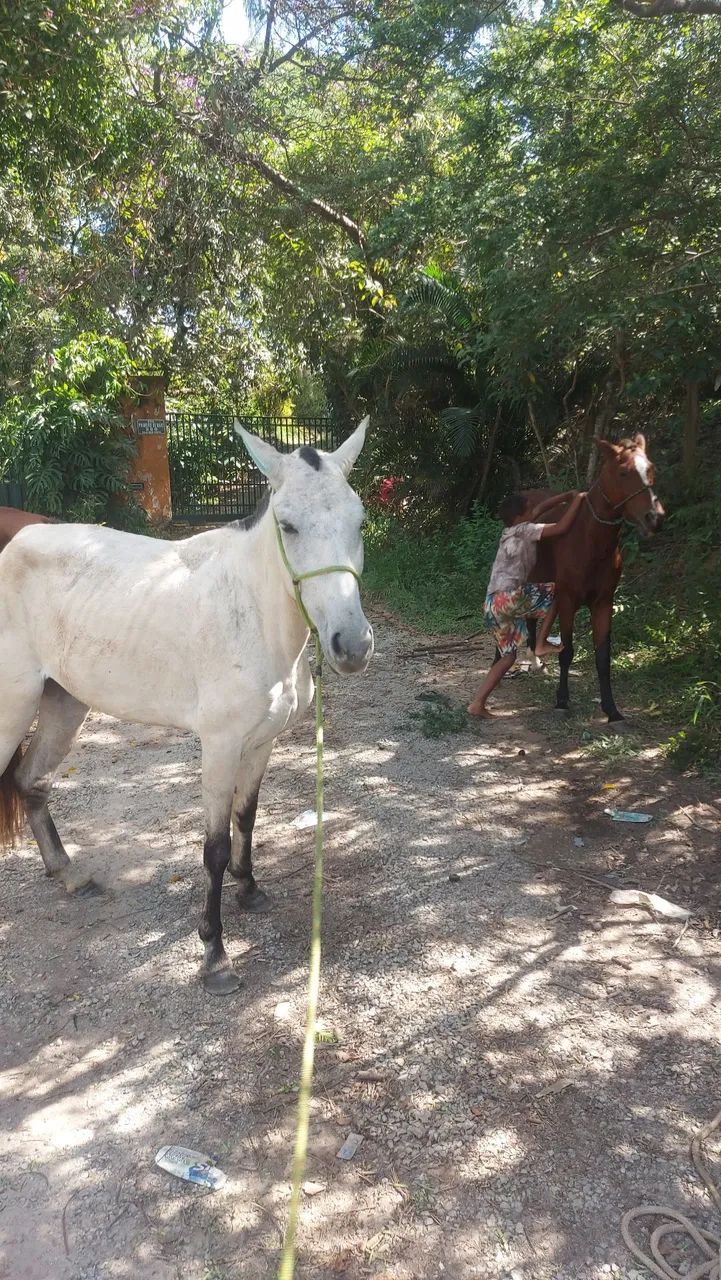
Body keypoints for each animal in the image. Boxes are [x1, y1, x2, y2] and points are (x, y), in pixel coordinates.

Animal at [0, 419, 373, 994]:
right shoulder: (219, 747)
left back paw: (69, 875)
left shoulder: (260, 742)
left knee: (31, 783)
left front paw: (250, 890)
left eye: (361, 521)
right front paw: (214, 955)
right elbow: (214, 847)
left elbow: (247, 817)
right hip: (13, 706)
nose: (351, 645)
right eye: (288, 526)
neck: (252, 614)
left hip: (63, 705)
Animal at [517, 434, 664, 722]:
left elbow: (603, 657)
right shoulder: (568, 600)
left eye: (651, 470)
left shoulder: (603, 602)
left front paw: (612, 709)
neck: (590, 540)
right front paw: (562, 700)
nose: (653, 518)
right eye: (623, 472)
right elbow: (567, 651)